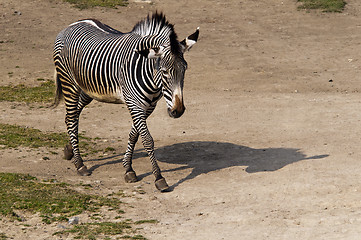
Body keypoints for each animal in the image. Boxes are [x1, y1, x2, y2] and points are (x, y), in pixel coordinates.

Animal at [52, 12, 200, 191]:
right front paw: (159, 178)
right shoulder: (135, 104)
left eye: (185, 69)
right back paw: (80, 165)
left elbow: (134, 135)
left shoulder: (148, 106)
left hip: (89, 88)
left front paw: (128, 169)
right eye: (164, 72)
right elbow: (147, 139)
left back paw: (69, 151)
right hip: (69, 83)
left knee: (71, 116)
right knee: (73, 118)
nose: (178, 111)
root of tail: (73, 24)